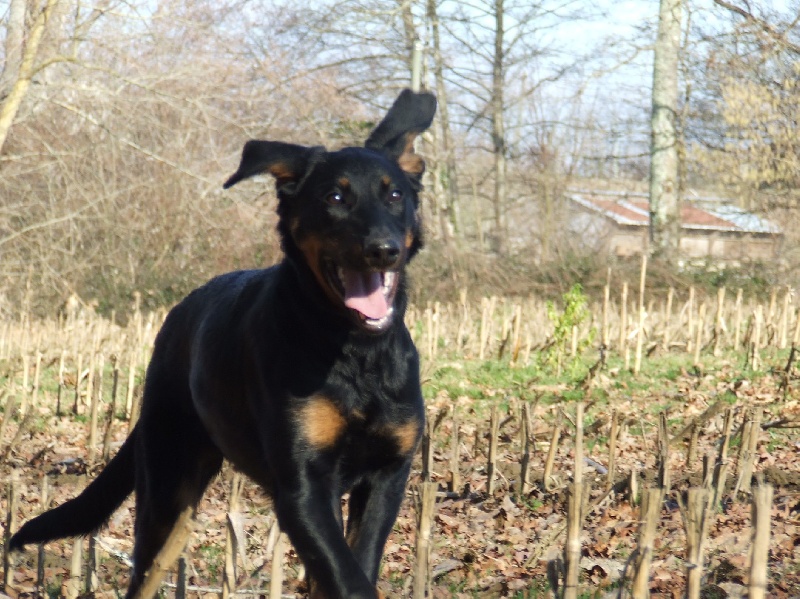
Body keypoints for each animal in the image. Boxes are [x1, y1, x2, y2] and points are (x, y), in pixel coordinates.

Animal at [9, 90, 438, 599]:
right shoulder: (304, 487)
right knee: (143, 575)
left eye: (395, 195)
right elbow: (348, 578)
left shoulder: (386, 477)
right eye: (335, 197)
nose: (383, 249)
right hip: (167, 490)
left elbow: (355, 567)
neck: (355, 351)